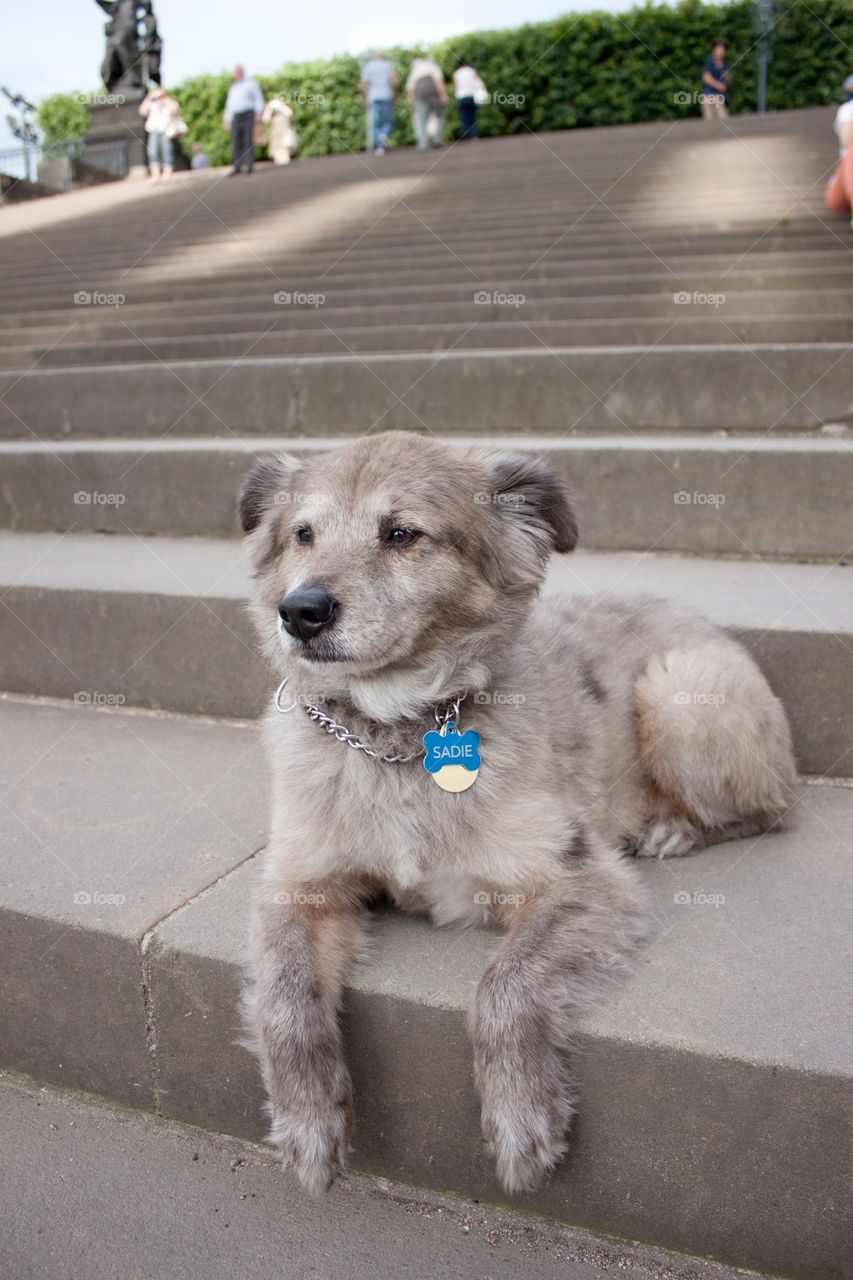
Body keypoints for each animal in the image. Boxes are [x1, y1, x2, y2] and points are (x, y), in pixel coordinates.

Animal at [235, 432, 794, 1198]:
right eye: (302, 534)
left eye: (401, 534)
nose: (300, 612)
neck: (397, 737)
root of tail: (692, 613)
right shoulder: (297, 884)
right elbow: (284, 997)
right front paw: (307, 1123)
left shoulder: (583, 882)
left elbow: (503, 988)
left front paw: (521, 1119)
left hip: (679, 691)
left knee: (773, 807)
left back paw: (674, 827)